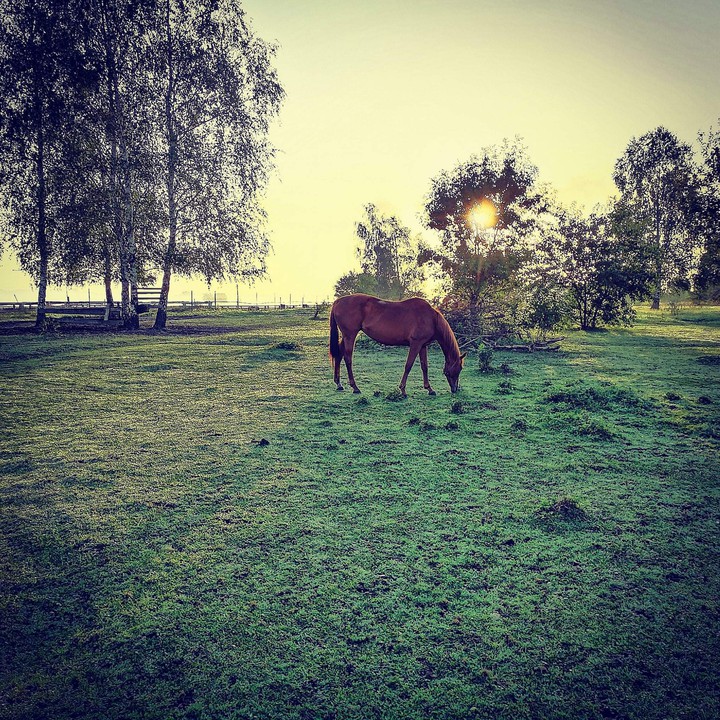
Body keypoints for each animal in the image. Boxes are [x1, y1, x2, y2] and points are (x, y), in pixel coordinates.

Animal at [329, 294, 466, 396]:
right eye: (458, 369)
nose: (455, 389)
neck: (431, 318)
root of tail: (337, 302)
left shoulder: (423, 345)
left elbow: (424, 366)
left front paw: (429, 389)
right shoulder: (415, 344)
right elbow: (408, 365)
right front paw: (403, 389)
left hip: (346, 336)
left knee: (339, 355)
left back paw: (339, 384)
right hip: (350, 336)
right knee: (348, 359)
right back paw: (355, 387)